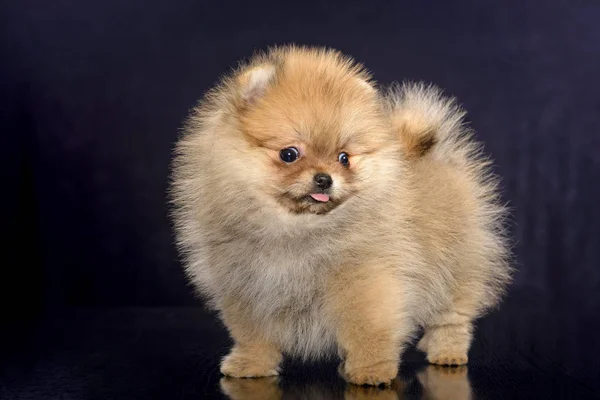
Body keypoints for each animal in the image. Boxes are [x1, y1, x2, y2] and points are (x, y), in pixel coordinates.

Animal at [170, 45, 510, 386]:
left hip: (456, 267)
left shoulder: (365, 281)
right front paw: (250, 364)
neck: (297, 228)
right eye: (289, 154)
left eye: (344, 158)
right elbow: (253, 334)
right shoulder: (245, 286)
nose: (324, 179)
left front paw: (372, 370)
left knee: (452, 318)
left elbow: (367, 329)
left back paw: (447, 353)